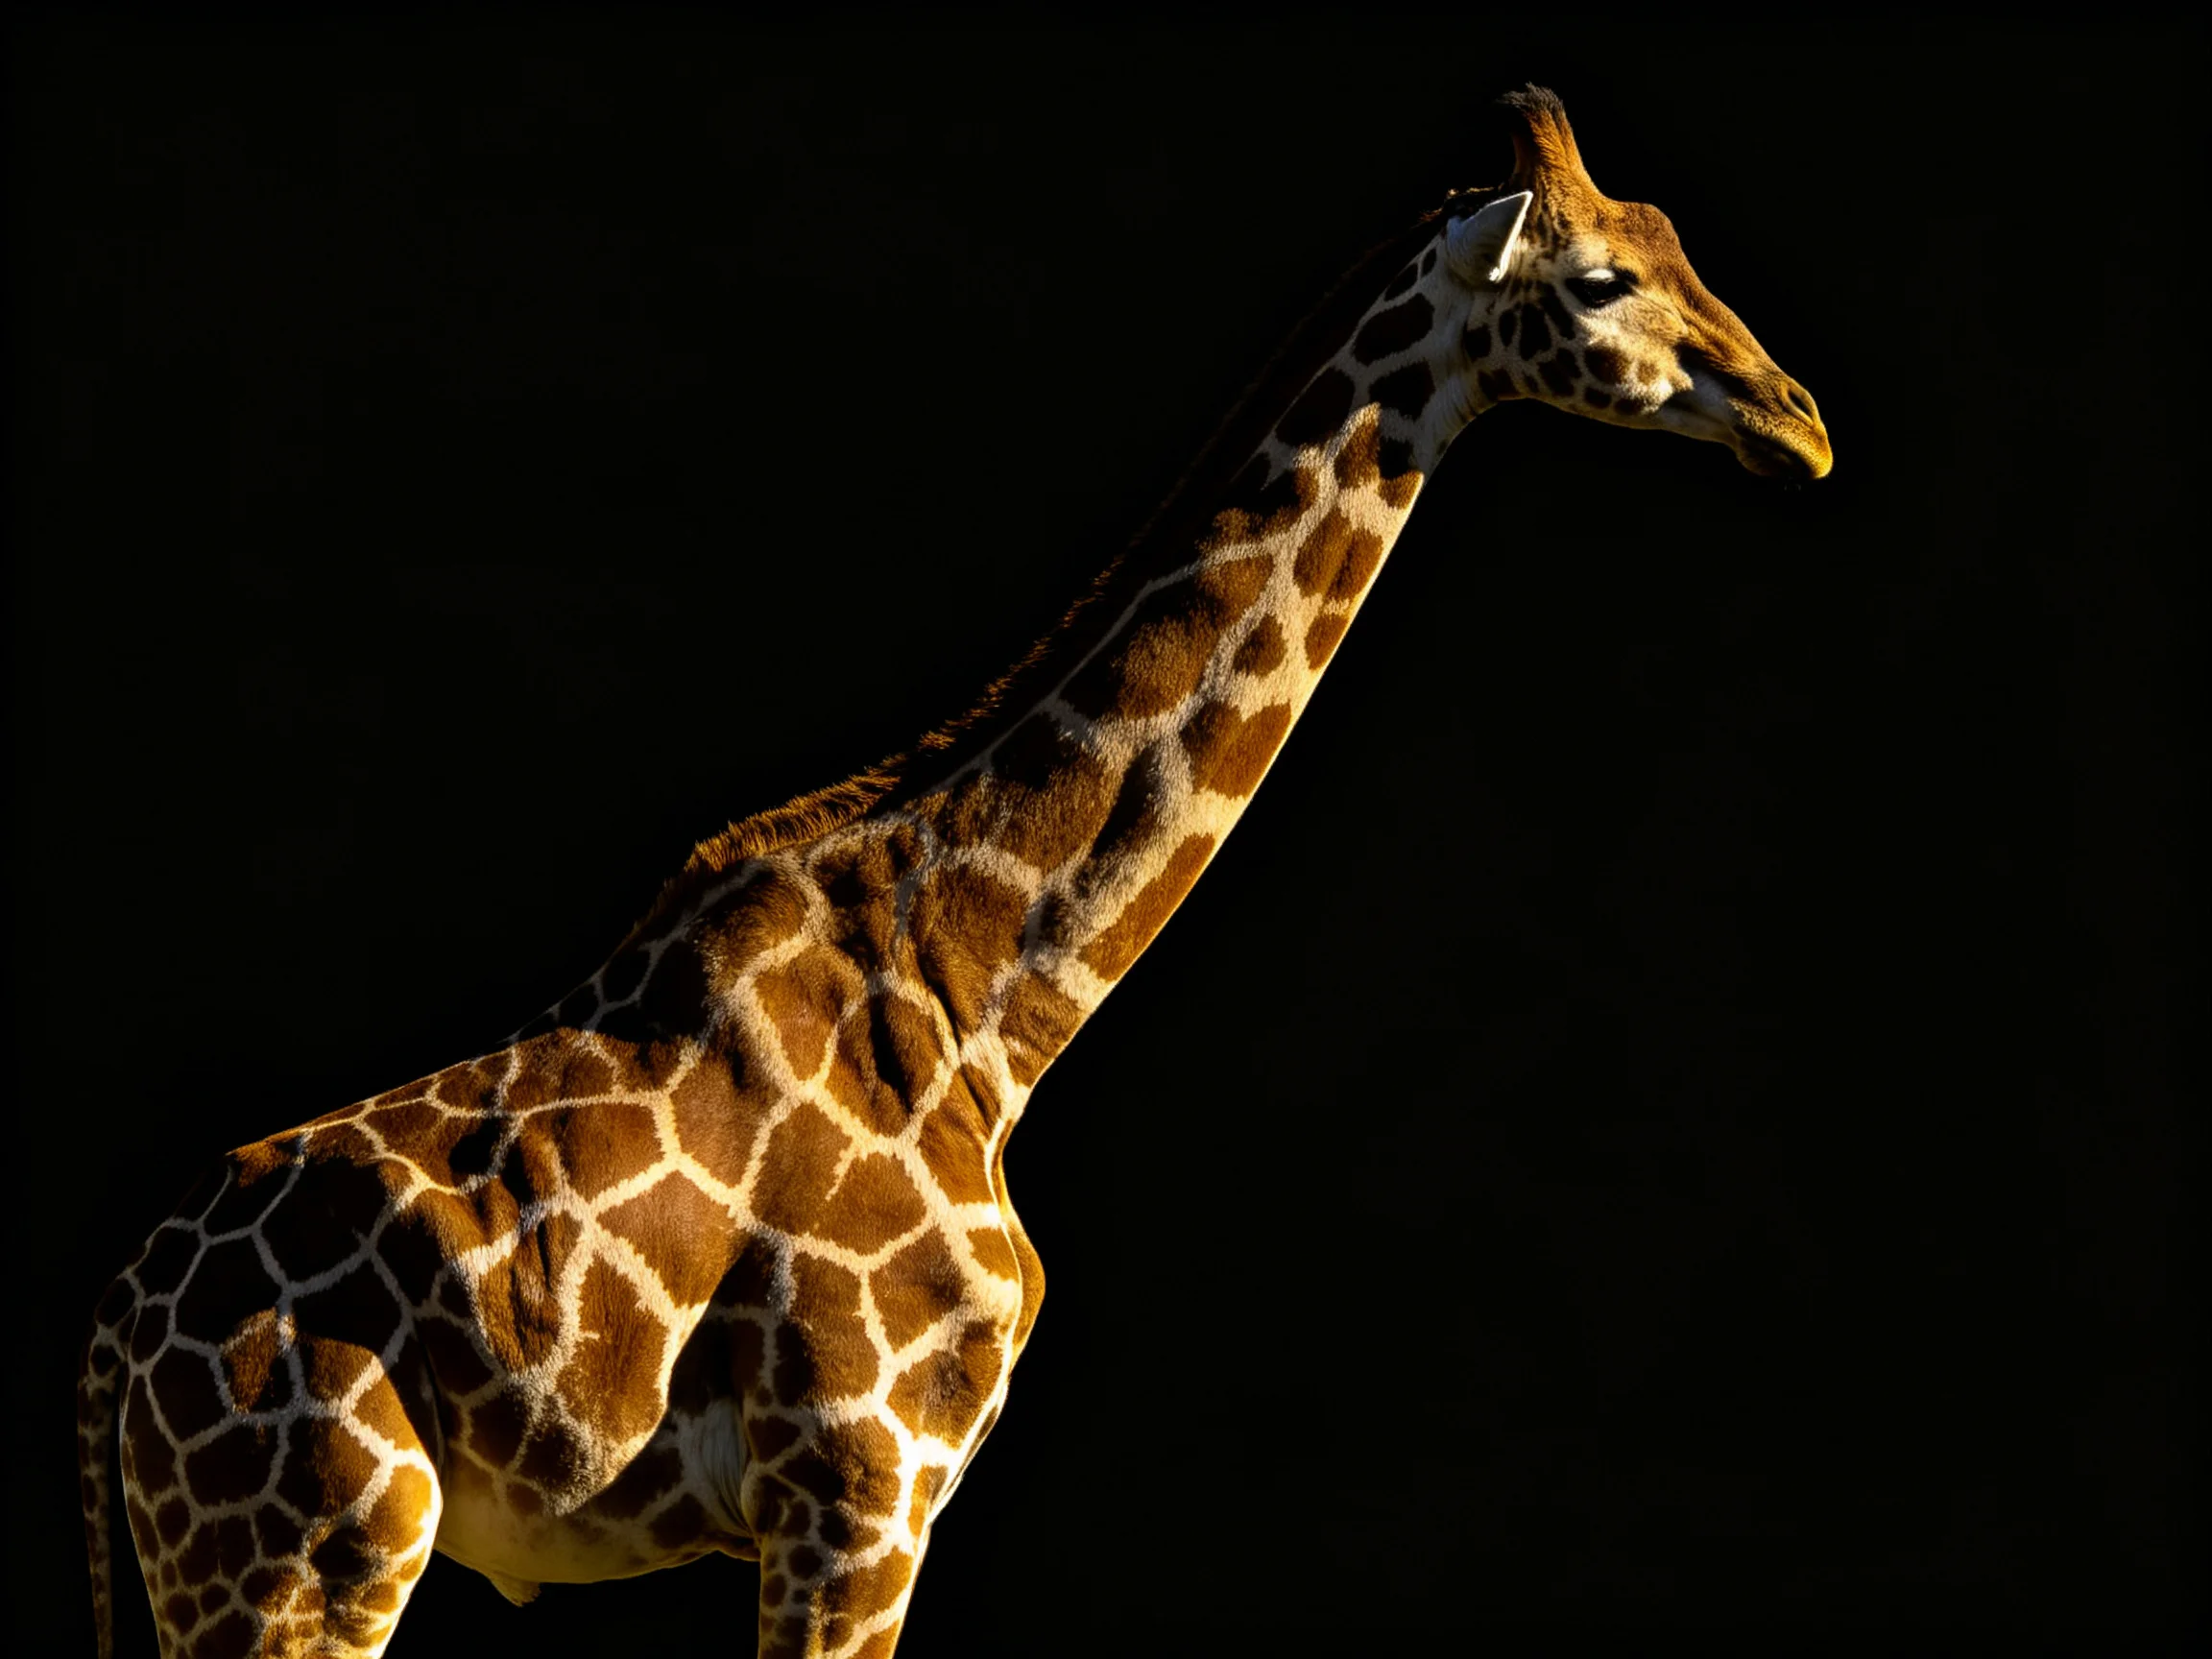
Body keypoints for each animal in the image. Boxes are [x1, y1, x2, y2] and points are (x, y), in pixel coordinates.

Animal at [77, 87, 1829, 1659]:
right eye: (1593, 282)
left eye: (1669, 242)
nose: (1795, 421)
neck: (992, 987)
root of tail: (112, 1340)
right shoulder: (858, 1486)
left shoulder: (866, 1500)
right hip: (309, 1556)